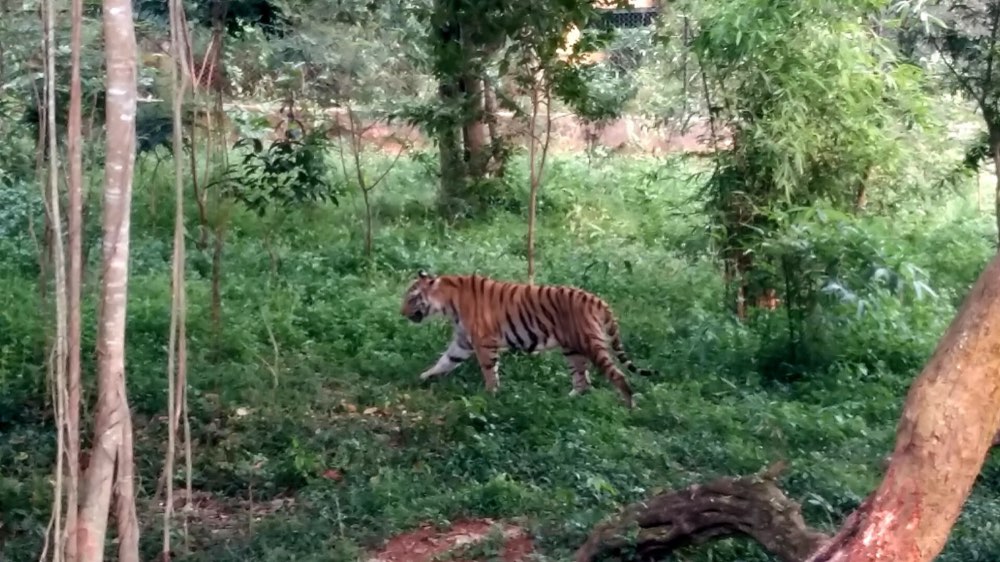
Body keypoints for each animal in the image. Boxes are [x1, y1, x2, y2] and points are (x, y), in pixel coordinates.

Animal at [400, 270, 657, 408]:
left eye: (412, 298)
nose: (401, 313)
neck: (448, 302)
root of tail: (598, 300)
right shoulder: (463, 342)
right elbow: (445, 361)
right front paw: (424, 377)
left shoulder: (484, 342)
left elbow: (488, 371)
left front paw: (490, 395)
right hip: (572, 349)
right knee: (583, 381)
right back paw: (567, 400)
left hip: (591, 344)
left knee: (618, 375)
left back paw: (630, 407)